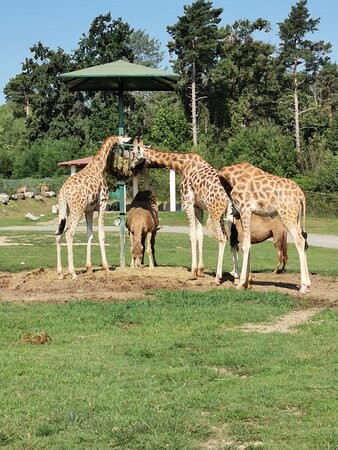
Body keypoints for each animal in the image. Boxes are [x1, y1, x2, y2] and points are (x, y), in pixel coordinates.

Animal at [54, 134, 130, 278]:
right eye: (122, 145)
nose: (126, 157)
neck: (99, 167)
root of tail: (64, 192)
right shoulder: (102, 203)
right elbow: (101, 234)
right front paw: (106, 267)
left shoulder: (88, 210)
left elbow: (89, 234)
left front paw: (89, 267)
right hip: (77, 209)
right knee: (69, 232)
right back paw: (73, 273)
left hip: (64, 210)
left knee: (59, 233)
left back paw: (60, 272)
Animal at [129, 138, 235, 284]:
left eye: (133, 153)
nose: (131, 168)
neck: (182, 166)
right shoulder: (198, 207)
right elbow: (200, 234)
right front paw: (200, 271)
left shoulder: (187, 202)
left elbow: (192, 235)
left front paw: (193, 272)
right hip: (230, 214)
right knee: (235, 239)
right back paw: (238, 277)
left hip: (215, 212)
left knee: (222, 238)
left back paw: (218, 277)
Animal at [218, 162, 310, 296]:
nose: (235, 214)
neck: (231, 177)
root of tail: (301, 195)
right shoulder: (246, 212)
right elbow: (246, 245)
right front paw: (247, 283)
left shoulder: (245, 208)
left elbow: (245, 245)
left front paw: (240, 283)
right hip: (296, 217)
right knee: (304, 240)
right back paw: (307, 285)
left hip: (287, 215)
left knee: (300, 241)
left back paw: (302, 287)